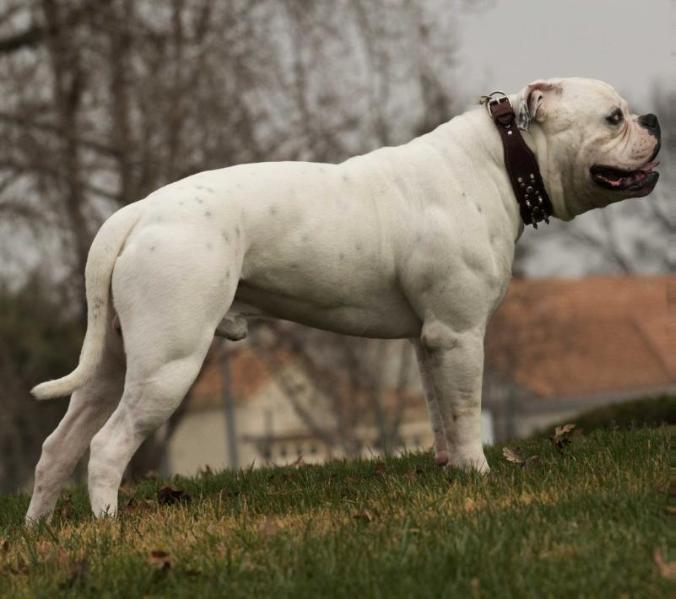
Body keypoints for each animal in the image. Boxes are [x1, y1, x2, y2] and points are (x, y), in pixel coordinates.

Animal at [26, 78, 660, 520]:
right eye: (613, 117)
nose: (653, 119)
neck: (503, 161)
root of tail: (135, 214)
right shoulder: (460, 334)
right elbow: (465, 413)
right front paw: (480, 477)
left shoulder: (430, 340)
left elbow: (439, 414)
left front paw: (453, 473)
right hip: (167, 364)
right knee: (107, 446)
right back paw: (109, 526)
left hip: (113, 365)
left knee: (59, 446)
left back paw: (40, 528)